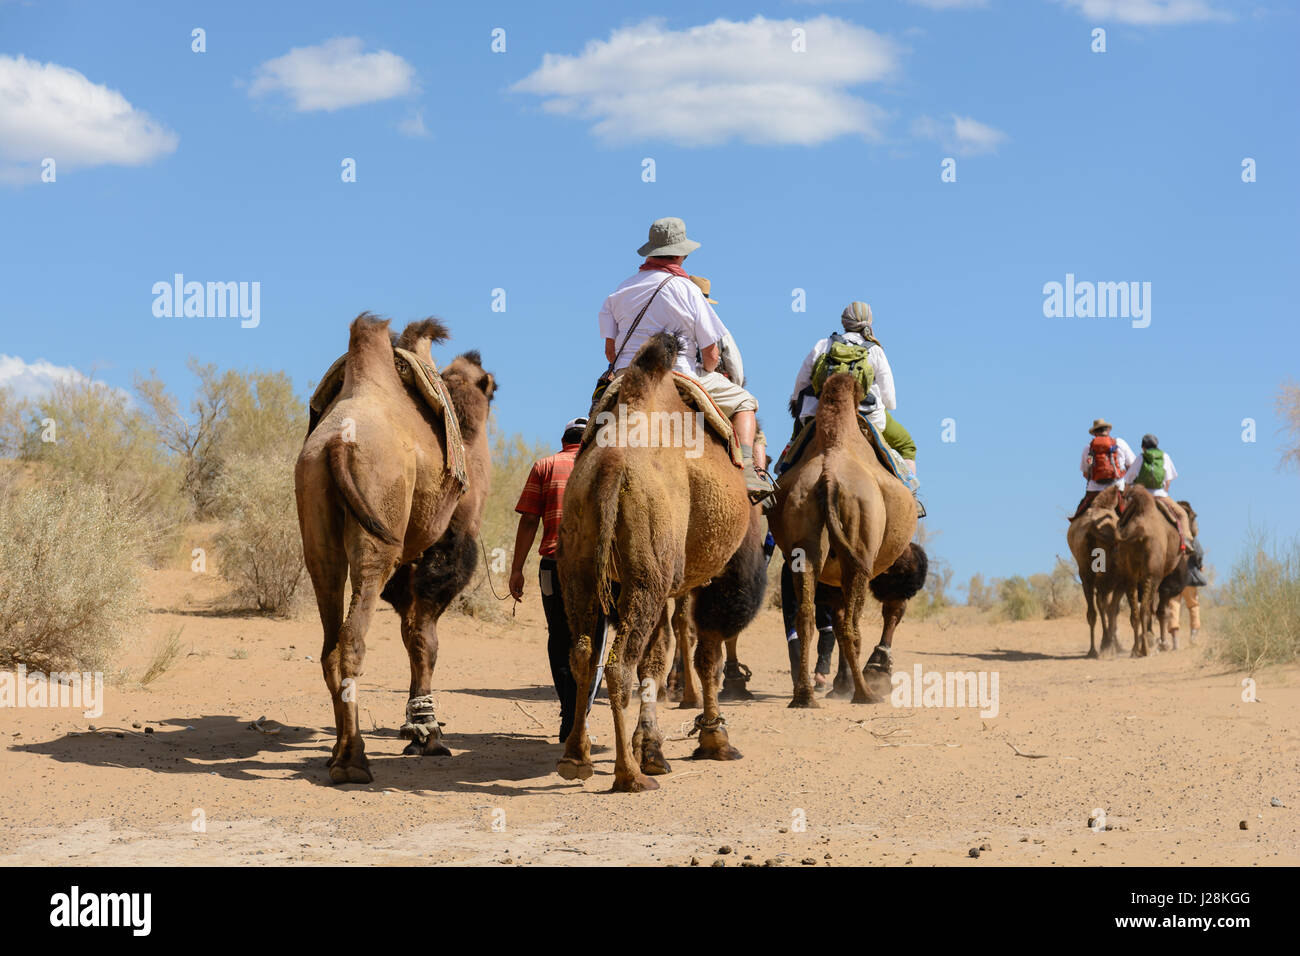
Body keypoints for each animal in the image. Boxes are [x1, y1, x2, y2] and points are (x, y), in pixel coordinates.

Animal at [297, 316, 493, 785]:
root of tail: (337, 443)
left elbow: (411, 632)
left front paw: (420, 731)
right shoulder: (448, 544)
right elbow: (424, 639)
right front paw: (428, 735)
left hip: (317, 528)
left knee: (329, 642)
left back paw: (338, 754)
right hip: (377, 535)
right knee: (352, 639)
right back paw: (353, 763)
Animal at [556, 332, 759, 796]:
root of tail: (611, 468)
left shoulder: (665, 579)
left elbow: (658, 653)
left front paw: (652, 747)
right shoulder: (713, 574)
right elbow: (706, 655)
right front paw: (714, 739)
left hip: (581, 565)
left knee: (583, 654)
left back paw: (576, 758)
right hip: (645, 577)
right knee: (619, 665)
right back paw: (629, 776)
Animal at [764, 374, 930, 712]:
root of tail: (828, 477)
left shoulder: (831, 574)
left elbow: (837, 619)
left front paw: (842, 682)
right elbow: (883, 613)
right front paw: (875, 671)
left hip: (805, 540)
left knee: (806, 616)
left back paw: (805, 696)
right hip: (859, 552)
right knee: (853, 625)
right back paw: (865, 693)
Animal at [1066, 486, 1128, 658]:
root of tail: (1091, 528)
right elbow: (1112, 609)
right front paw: (1115, 645)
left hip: (1086, 572)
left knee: (1093, 611)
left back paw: (1094, 649)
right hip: (1107, 575)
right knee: (1106, 607)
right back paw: (1106, 645)